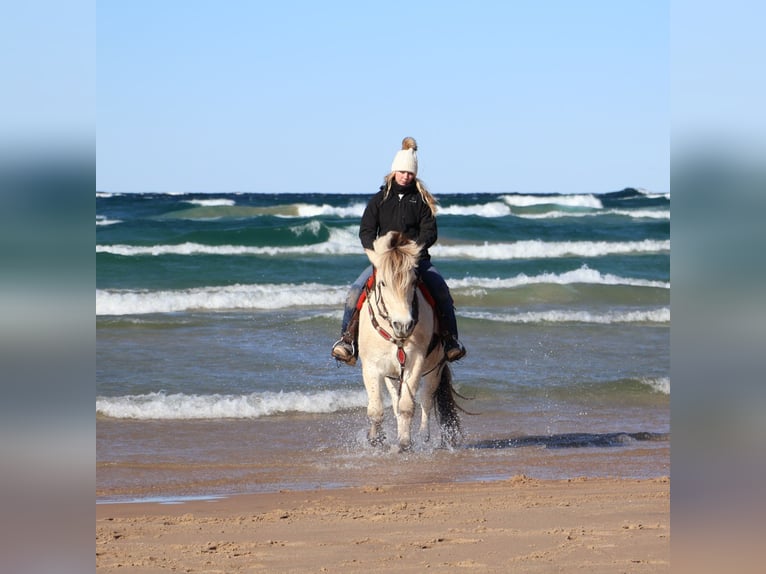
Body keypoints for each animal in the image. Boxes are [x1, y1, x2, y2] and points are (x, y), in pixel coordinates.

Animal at [358, 230, 463, 452]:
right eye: (382, 283)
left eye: (414, 282)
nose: (403, 325)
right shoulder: (372, 366)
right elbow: (377, 409)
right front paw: (376, 439)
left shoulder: (415, 362)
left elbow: (408, 406)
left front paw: (405, 442)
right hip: (393, 374)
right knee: (396, 401)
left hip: (435, 368)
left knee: (426, 400)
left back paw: (423, 435)